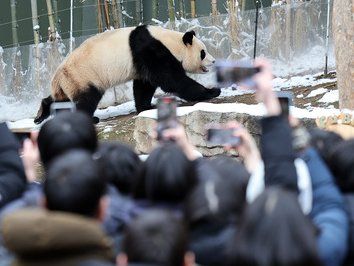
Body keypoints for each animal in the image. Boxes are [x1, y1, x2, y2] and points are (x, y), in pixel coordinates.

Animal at [34, 24, 221, 123]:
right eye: (203, 53)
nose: (213, 61)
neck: (170, 42)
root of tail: (57, 76)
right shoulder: (151, 49)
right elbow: (171, 80)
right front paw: (212, 91)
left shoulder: (144, 60)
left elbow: (144, 85)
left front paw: (146, 107)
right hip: (83, 75)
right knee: (87, 99)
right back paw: (89, 119)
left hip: (70, 82)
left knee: (61, 100)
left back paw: (41, 114)